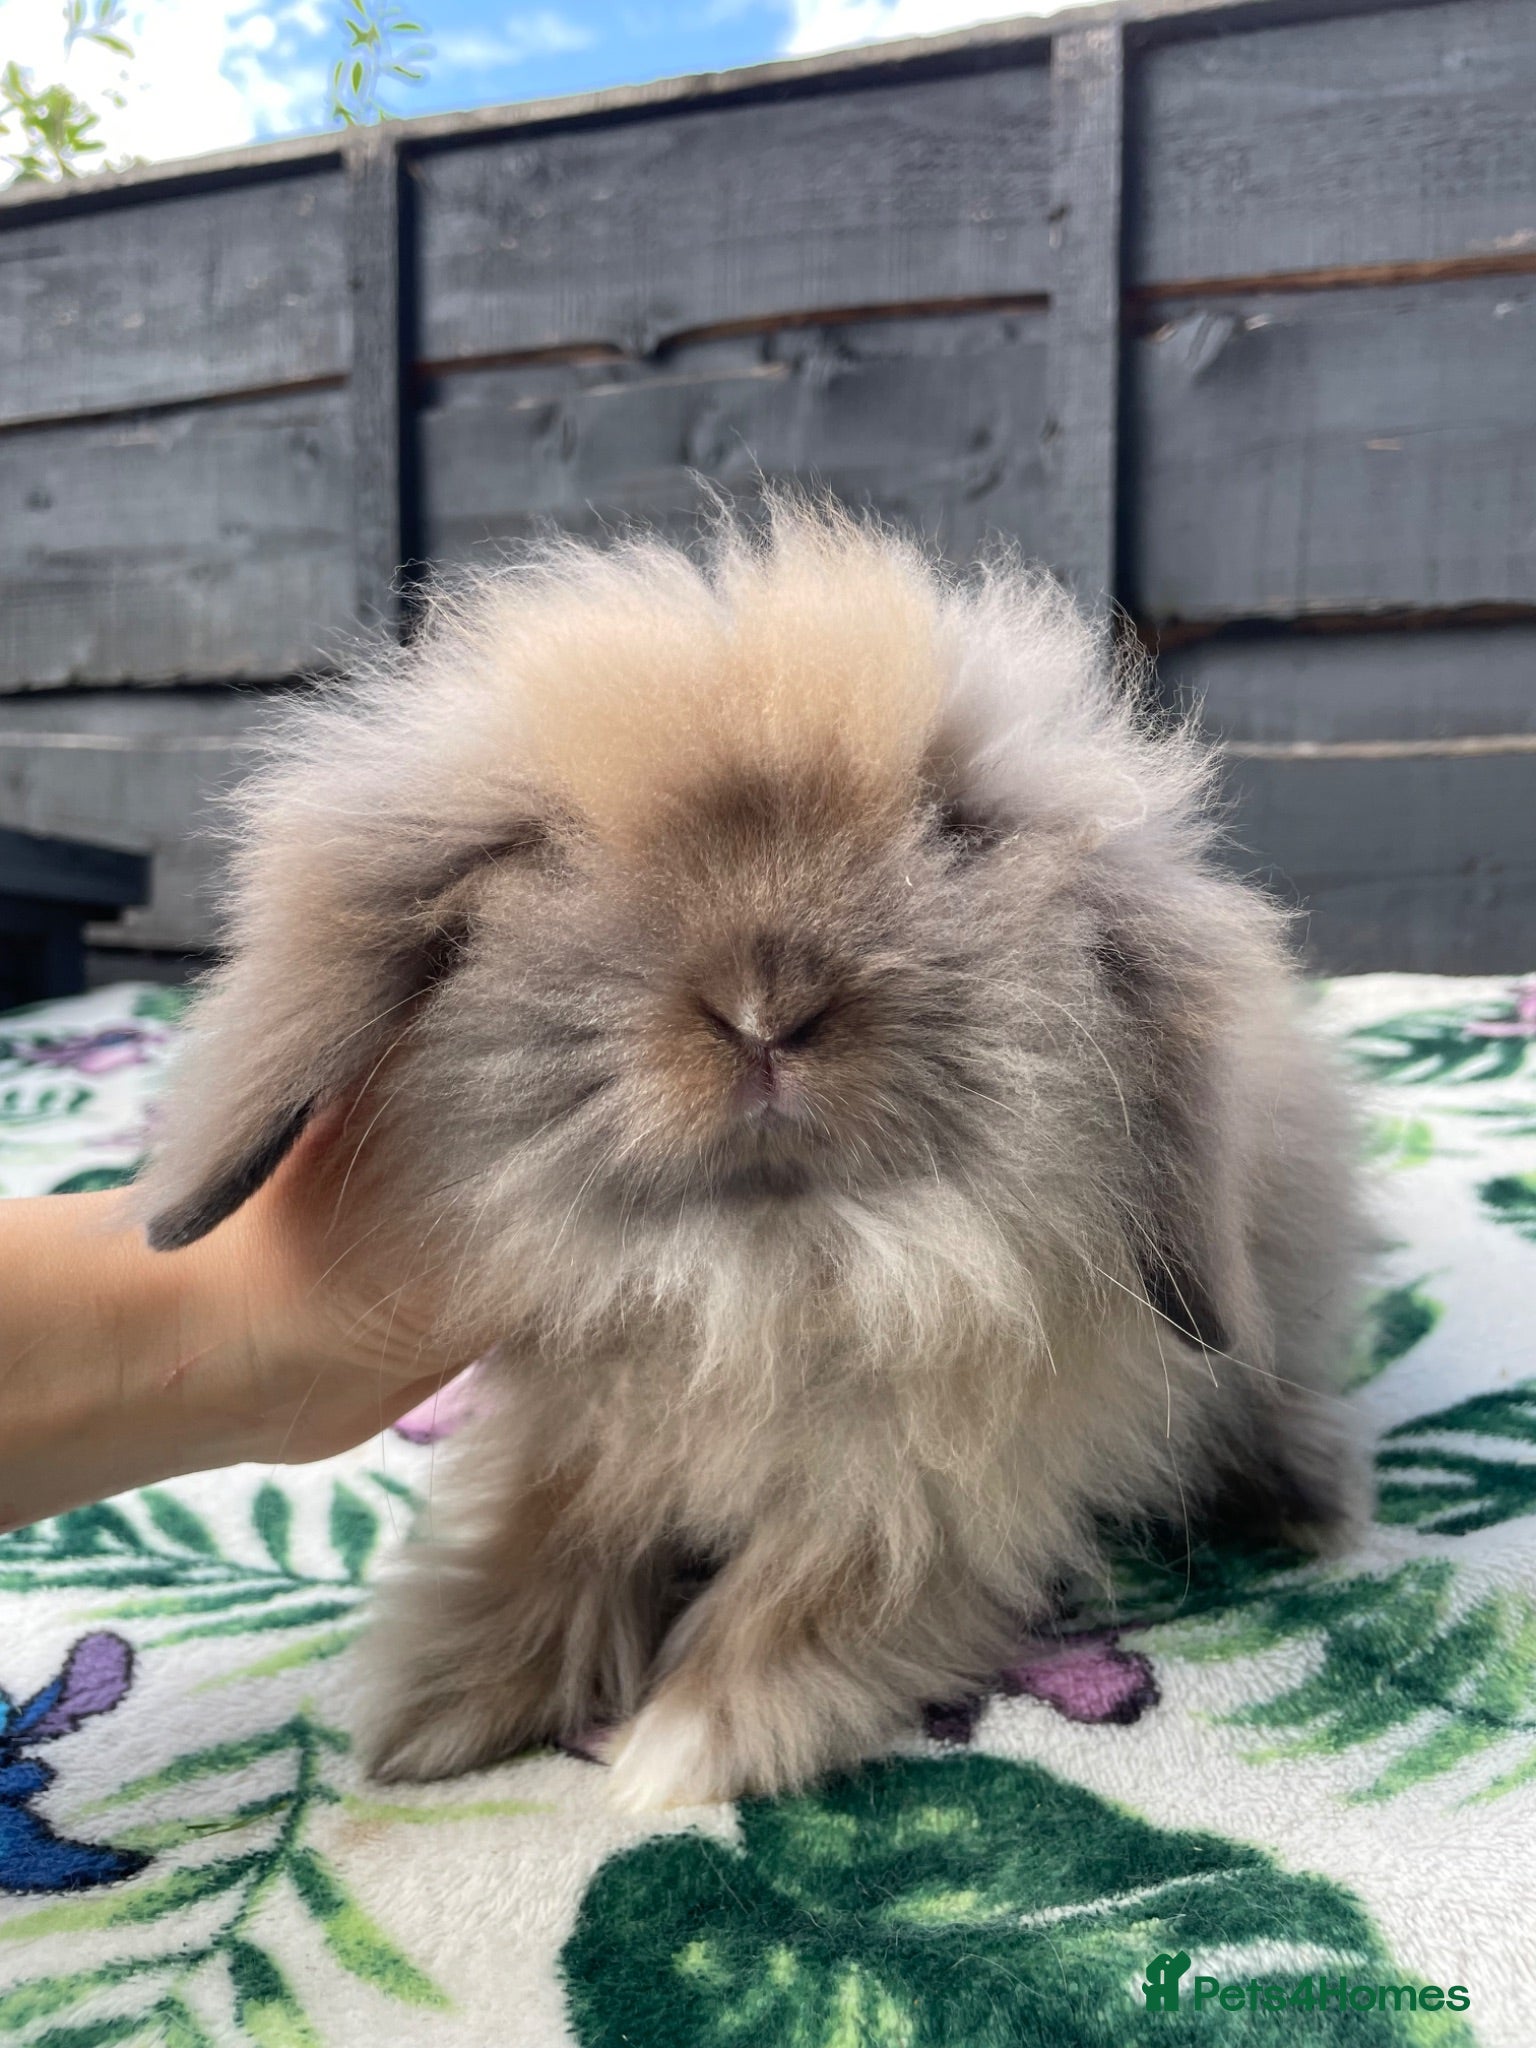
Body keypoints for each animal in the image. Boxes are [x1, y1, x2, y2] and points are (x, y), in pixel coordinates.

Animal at [138, 498, 1365, 1812]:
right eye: (548, 851)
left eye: (957, 828)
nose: (763, 1005)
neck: (766, 1265)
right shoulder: (581, 1431)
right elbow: (542, 1528)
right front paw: (440, 1708)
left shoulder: (933, 1488)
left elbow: (820, 1586)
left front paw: (679, 1744)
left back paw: (1310, 1502)